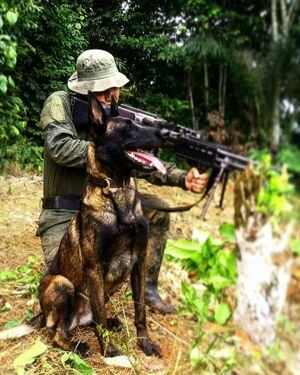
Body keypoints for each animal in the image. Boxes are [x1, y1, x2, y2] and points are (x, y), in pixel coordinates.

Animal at [0, 92, 165, 356]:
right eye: (128, 127)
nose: (164, 133)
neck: (116, 192)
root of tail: (42, 314)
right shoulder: (94, 268)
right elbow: (99, 316)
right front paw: (108, 351)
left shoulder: (139, 261)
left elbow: (140, 311)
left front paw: (145, 342)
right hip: (62, 284)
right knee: (57, 332)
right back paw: (77, 345)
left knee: (89, 319)